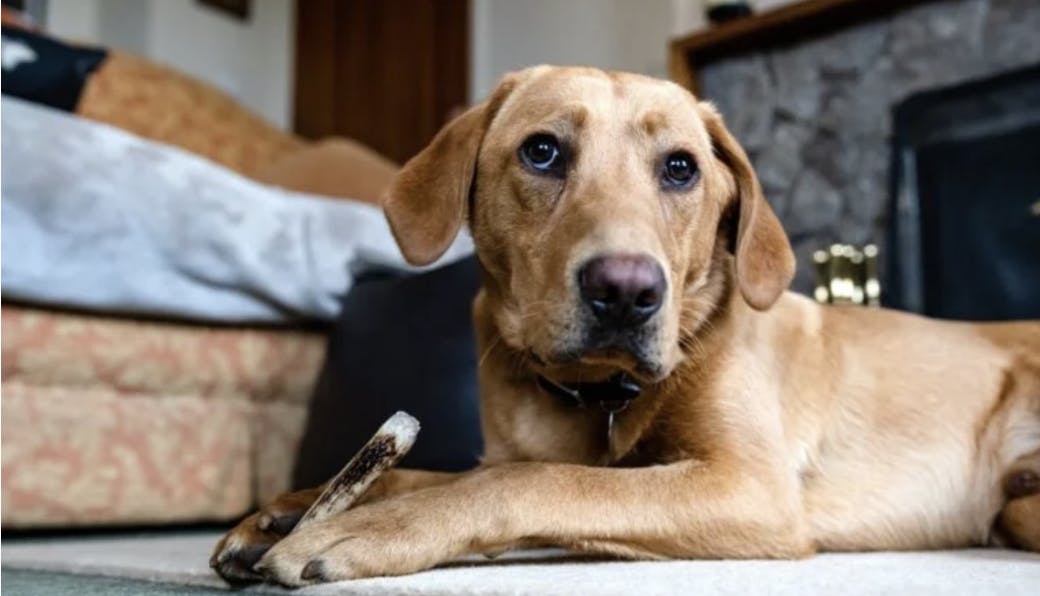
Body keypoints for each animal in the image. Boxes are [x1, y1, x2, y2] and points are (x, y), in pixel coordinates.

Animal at [213, 63, 1040, 582]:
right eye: (542, 152)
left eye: (681, 168)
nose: (626, 292)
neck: (601, 393)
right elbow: (453, 469)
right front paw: (291, 507)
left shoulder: (750, 487)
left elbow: (533, 480)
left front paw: (371, 526)